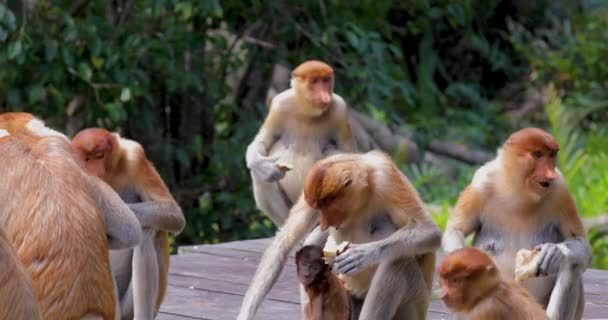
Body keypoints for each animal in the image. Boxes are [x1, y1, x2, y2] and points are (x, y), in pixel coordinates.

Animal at [71, 127, 185, 320]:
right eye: (86, 158)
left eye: (99, 156)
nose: (94, 171)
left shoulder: (135, 157)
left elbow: (173, 214)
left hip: (130, 308)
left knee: (147, 232)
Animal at [238, 151, 442, 320]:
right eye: (317, 208)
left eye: (327, 206)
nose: (323, 223)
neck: (366, 189)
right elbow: (284, 242)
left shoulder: (386, 178)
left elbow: (429, 231)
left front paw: (362, 255)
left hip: (415, 305)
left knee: (399, 265)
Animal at [245, 59, 354, 225]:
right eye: (315, 81)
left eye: (326, 80)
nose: (325, 97)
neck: (308, 112)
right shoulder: (279, 105)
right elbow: (263, 141)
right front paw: (264, 167)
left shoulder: (340, 109)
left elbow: (350, 154)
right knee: (259, 175)